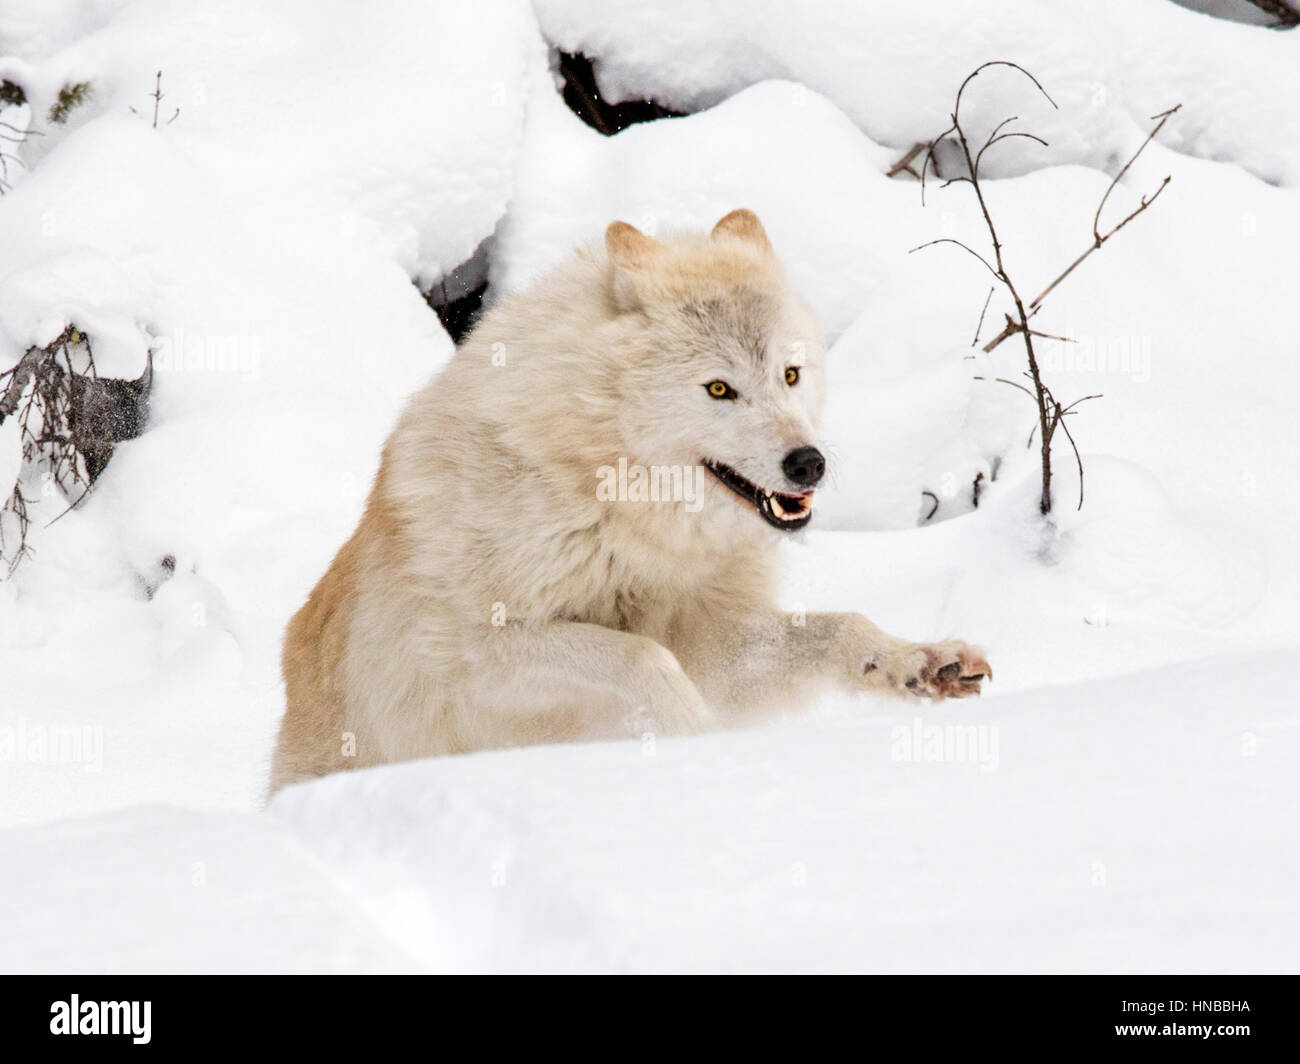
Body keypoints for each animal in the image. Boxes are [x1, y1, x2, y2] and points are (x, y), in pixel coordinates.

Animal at [270, 209, 990, 793]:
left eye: (791, 374)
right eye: (720, 389)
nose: (807, 463)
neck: (632, 513)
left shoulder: (716, 641)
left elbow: (843, 624)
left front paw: (916, 663)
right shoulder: (483, 651)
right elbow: (645, 658)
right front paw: (698, 746)